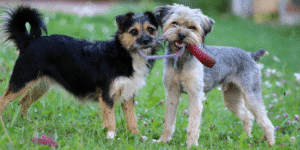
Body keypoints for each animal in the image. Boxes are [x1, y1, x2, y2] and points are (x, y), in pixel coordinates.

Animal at [0, 5, 161, 139]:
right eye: (133, 31)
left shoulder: (128, 95)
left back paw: (26, 124)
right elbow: (111, 120)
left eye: (151, 29)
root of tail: (29, 42)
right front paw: (110, 138)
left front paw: (137, 137)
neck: (125, 55)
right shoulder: (107, 95)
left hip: (40, 86)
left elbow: (132, 120)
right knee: (3, 101)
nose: (146, 40)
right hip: (21, 82)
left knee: (23, 103)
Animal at [155, 3, 274, 148]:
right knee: (247, 116)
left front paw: (192, 145)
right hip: (231, 98)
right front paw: (163, 141)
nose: (182, 35)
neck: (182, 58)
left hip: (251, 95)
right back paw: (245, 138)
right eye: (174, 23)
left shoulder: (195, 95)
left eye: (192, 27)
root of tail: (250, 55)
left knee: (266, 122)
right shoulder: (172, 92)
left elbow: (193, 124)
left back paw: (270, 143)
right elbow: (168, 121)